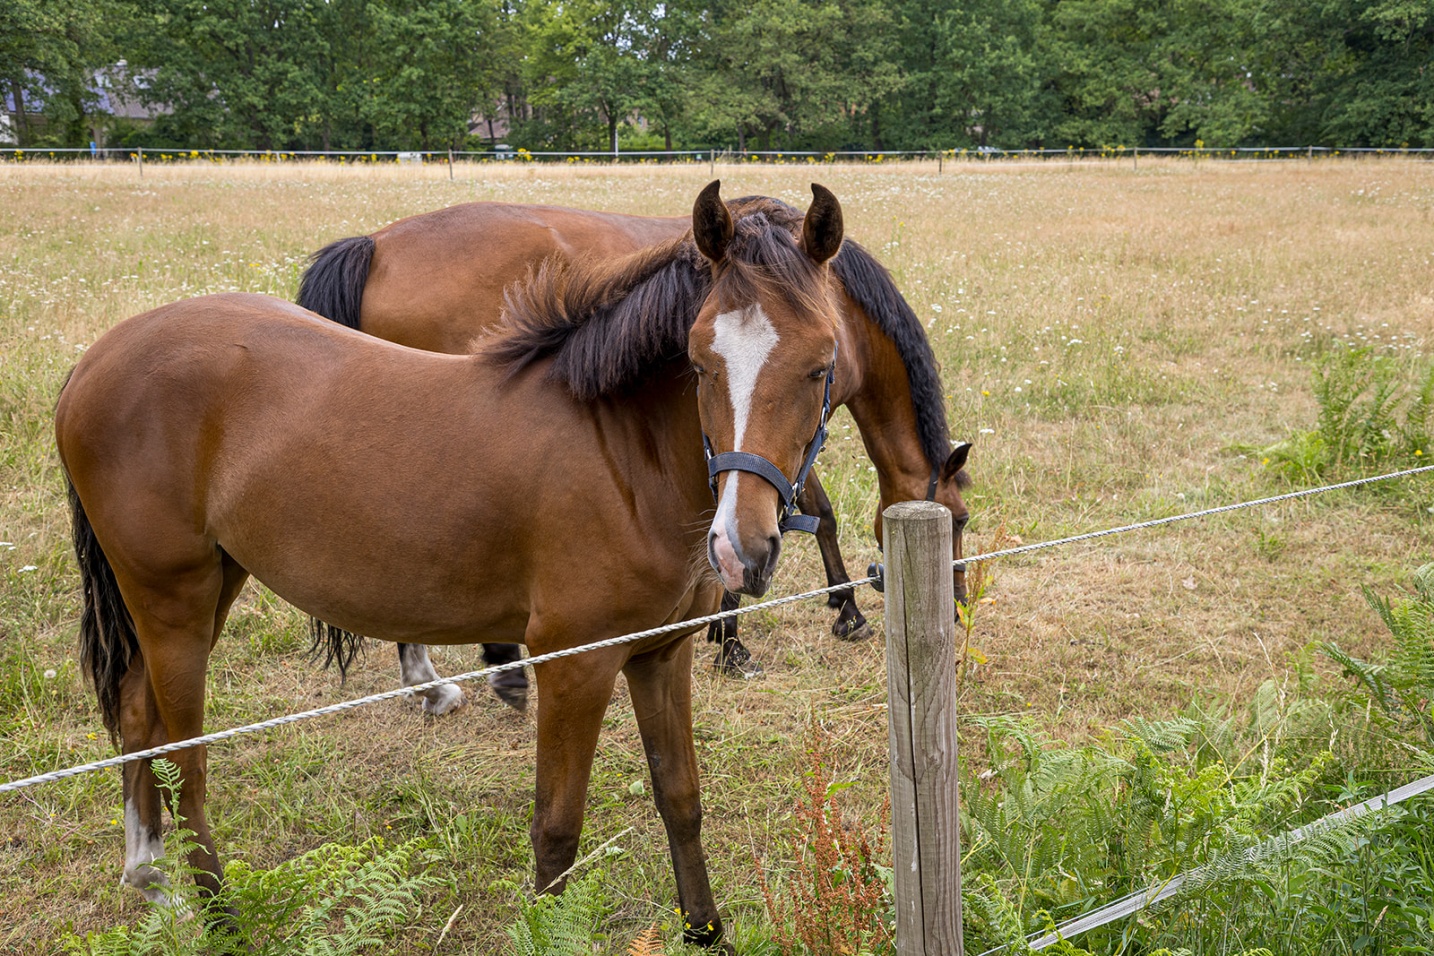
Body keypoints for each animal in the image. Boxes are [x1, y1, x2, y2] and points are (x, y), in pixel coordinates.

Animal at [56, 182, 868, 952]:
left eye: (821, 363)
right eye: (699, 362)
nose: (742, 547)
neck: (620, 455)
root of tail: (93, 361)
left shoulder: (661, 654)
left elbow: (682, 799)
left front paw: (704, 931)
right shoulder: (575, 665)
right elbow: (556, 832)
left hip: (207, 585)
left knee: (136, 711)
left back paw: (150, 874)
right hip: (174, 598)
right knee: (186, 762)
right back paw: (221, 918)